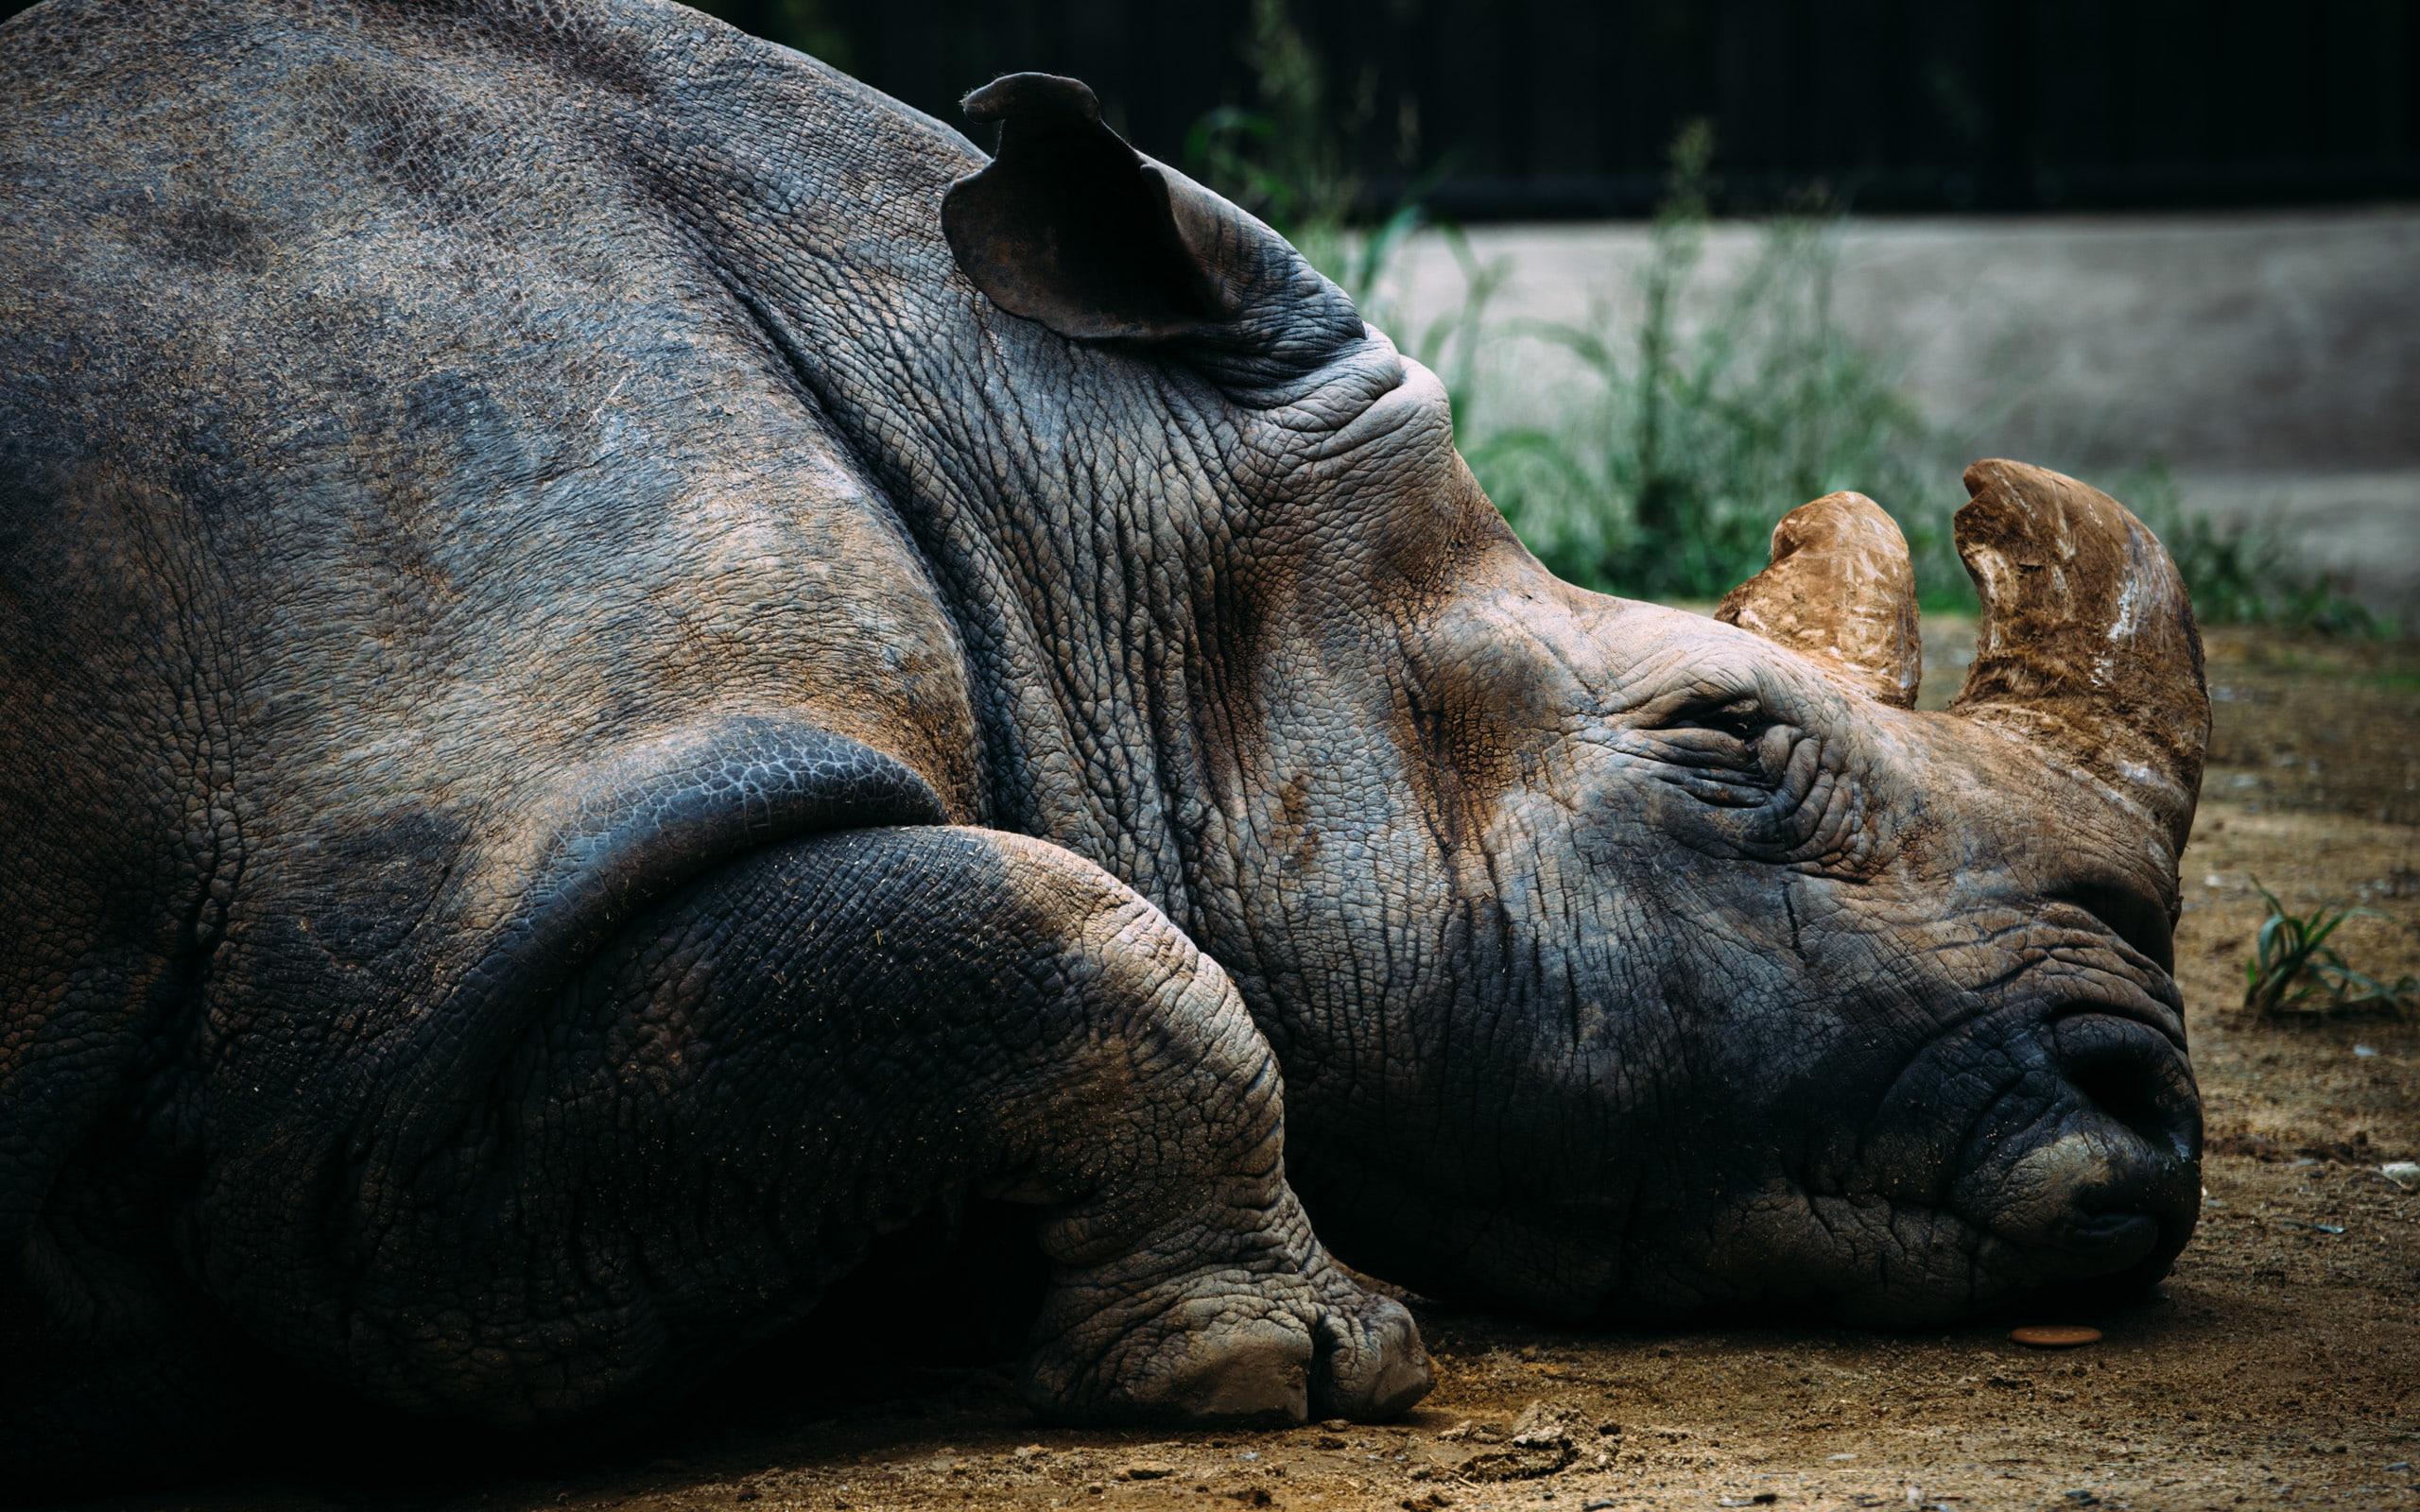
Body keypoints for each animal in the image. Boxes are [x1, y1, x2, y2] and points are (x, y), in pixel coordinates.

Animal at [0, 0, 2207, 1490]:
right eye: (1726, 743)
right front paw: (1291, 1369)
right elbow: (1081, 951)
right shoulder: (387, 1081)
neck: (1061, 484)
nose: (2149, 1117)